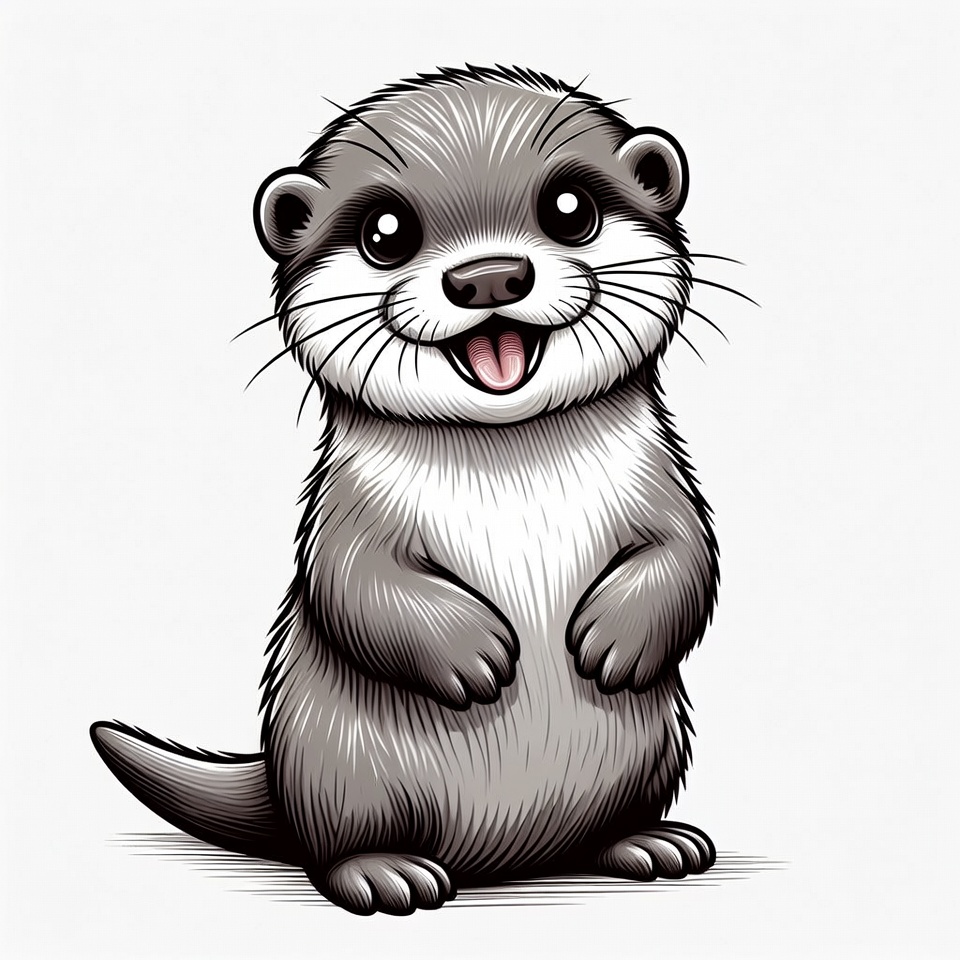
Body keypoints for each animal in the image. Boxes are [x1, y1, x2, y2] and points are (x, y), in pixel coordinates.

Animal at [91, 65, 724, 915]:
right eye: (386, 232)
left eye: (570, 209)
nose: (488, 276)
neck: (511, 482)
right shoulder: (344, 513)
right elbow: (354, 583)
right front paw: (474, 654)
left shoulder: (664, 483)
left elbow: (687, 553)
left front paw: (615, 641)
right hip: (341, 763)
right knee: (336, 842)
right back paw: (385, 872)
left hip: (654, 747)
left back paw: (649, 843)